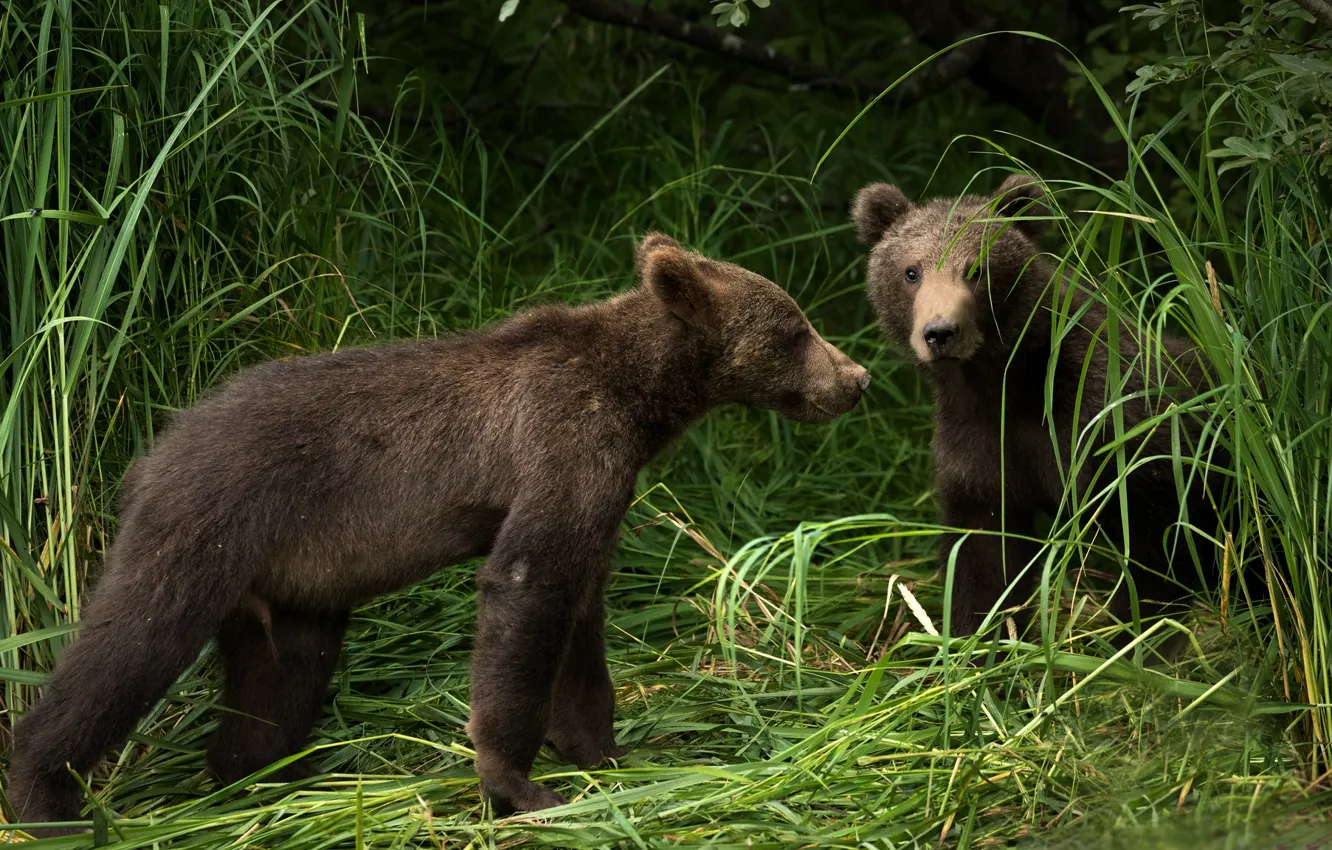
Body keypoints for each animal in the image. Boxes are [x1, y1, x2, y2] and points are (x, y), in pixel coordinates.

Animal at [6, 233, 871, 834]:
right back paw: (47, 800)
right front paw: (518, 784)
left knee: (277, 684)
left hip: (289, 592)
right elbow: (525, 592)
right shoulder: (559, 446)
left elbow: (579, 622)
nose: (857, 378)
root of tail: (150, 453)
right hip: (206, 523)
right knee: (129, 645)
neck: (638, 402)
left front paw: (606, 752)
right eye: (796, 328)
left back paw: (262, 782)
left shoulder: (602, 492)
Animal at [851, 173, 1222, 639]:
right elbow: (984, 558)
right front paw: (981, 638)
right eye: (911, 271)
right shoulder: (979, 447)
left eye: (976, 268)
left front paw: (1129, 637)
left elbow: (1157, 552)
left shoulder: (1115, 429)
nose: (940, 332)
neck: (1006, 384)